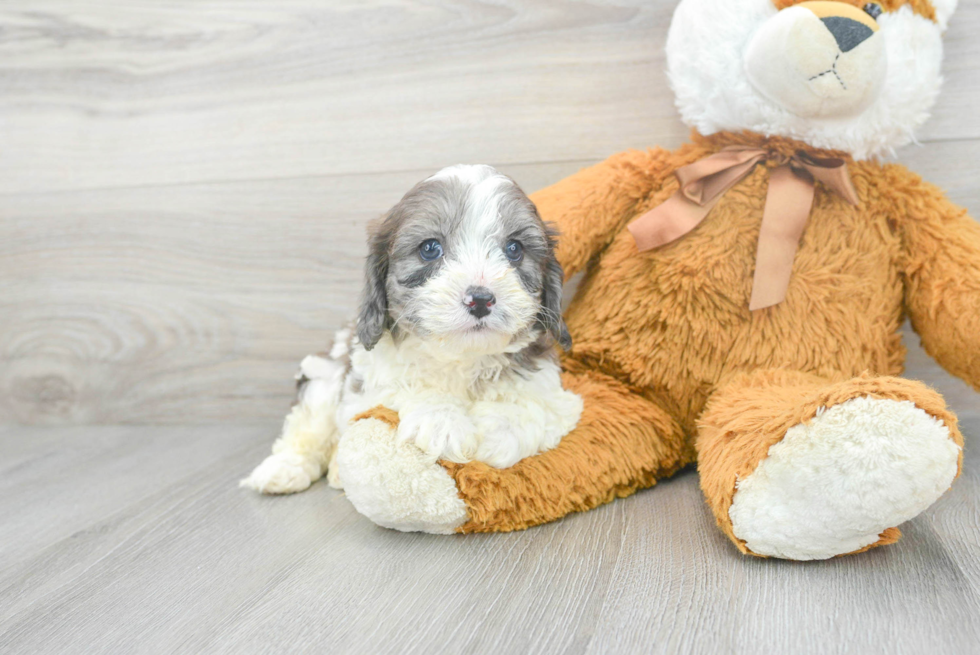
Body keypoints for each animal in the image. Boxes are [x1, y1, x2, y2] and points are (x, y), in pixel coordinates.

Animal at [242, 165, 580, 498]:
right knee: (307, 426)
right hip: (323, 377)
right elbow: (403, 387)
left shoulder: (557, 394)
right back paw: (285, 469)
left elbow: (533, 406)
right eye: (430, 248)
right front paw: (443, 421)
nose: (481, 299)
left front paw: (497, 431)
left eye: (514, 249)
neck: (459, 358)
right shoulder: (365, 384)